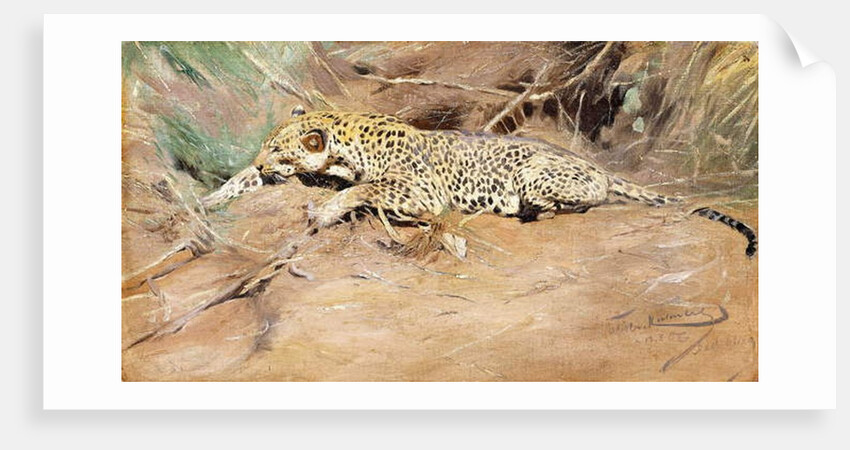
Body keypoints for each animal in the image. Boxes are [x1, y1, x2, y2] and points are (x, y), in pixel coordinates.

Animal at [206, 106, 757, 257]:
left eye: (278, 149)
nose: (262, 162)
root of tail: (599, 166)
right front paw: (211, 199)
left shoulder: (422, 192)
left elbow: (363, 188)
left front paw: (325, 210)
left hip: (538, 176)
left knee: (585, 201)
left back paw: (531, 211)